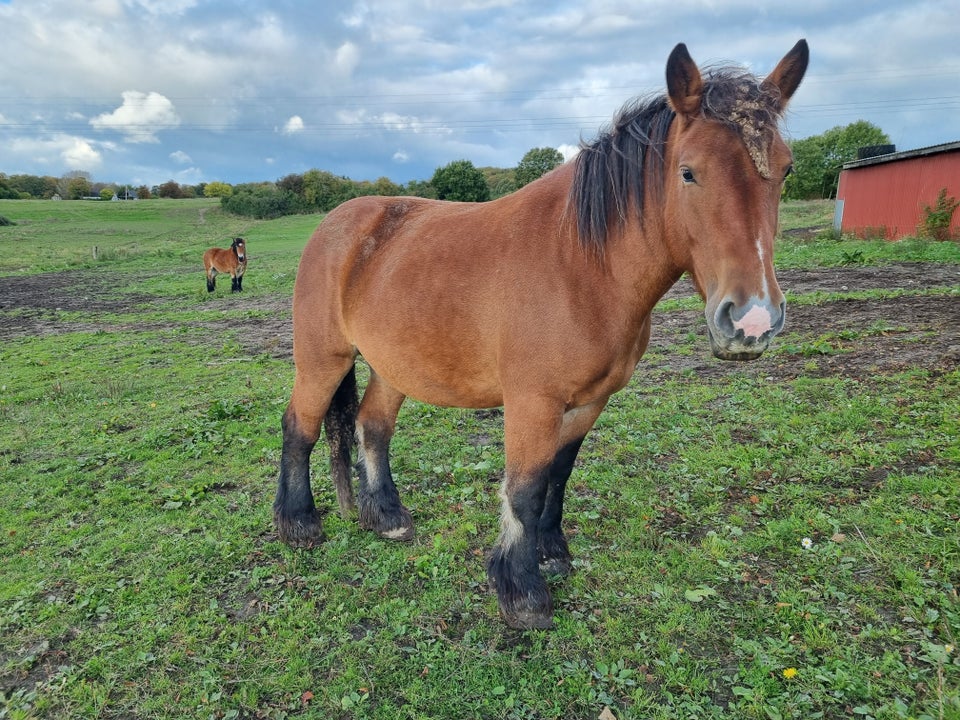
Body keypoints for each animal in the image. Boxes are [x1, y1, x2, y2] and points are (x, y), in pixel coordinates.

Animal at [272, 40, 808, 632]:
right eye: (689, 173)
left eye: (786, 170)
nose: (751, 321)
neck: (580, 265)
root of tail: (337, 222)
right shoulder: (532, 402)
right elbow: (525, 489)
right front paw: (522, 590)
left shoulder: (590, 401)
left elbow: (559, 474)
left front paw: (552, 554)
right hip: (323, 358)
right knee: (300, 426)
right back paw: (299, 524)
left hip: (394, 366)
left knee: (372, 426)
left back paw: (387, 516)